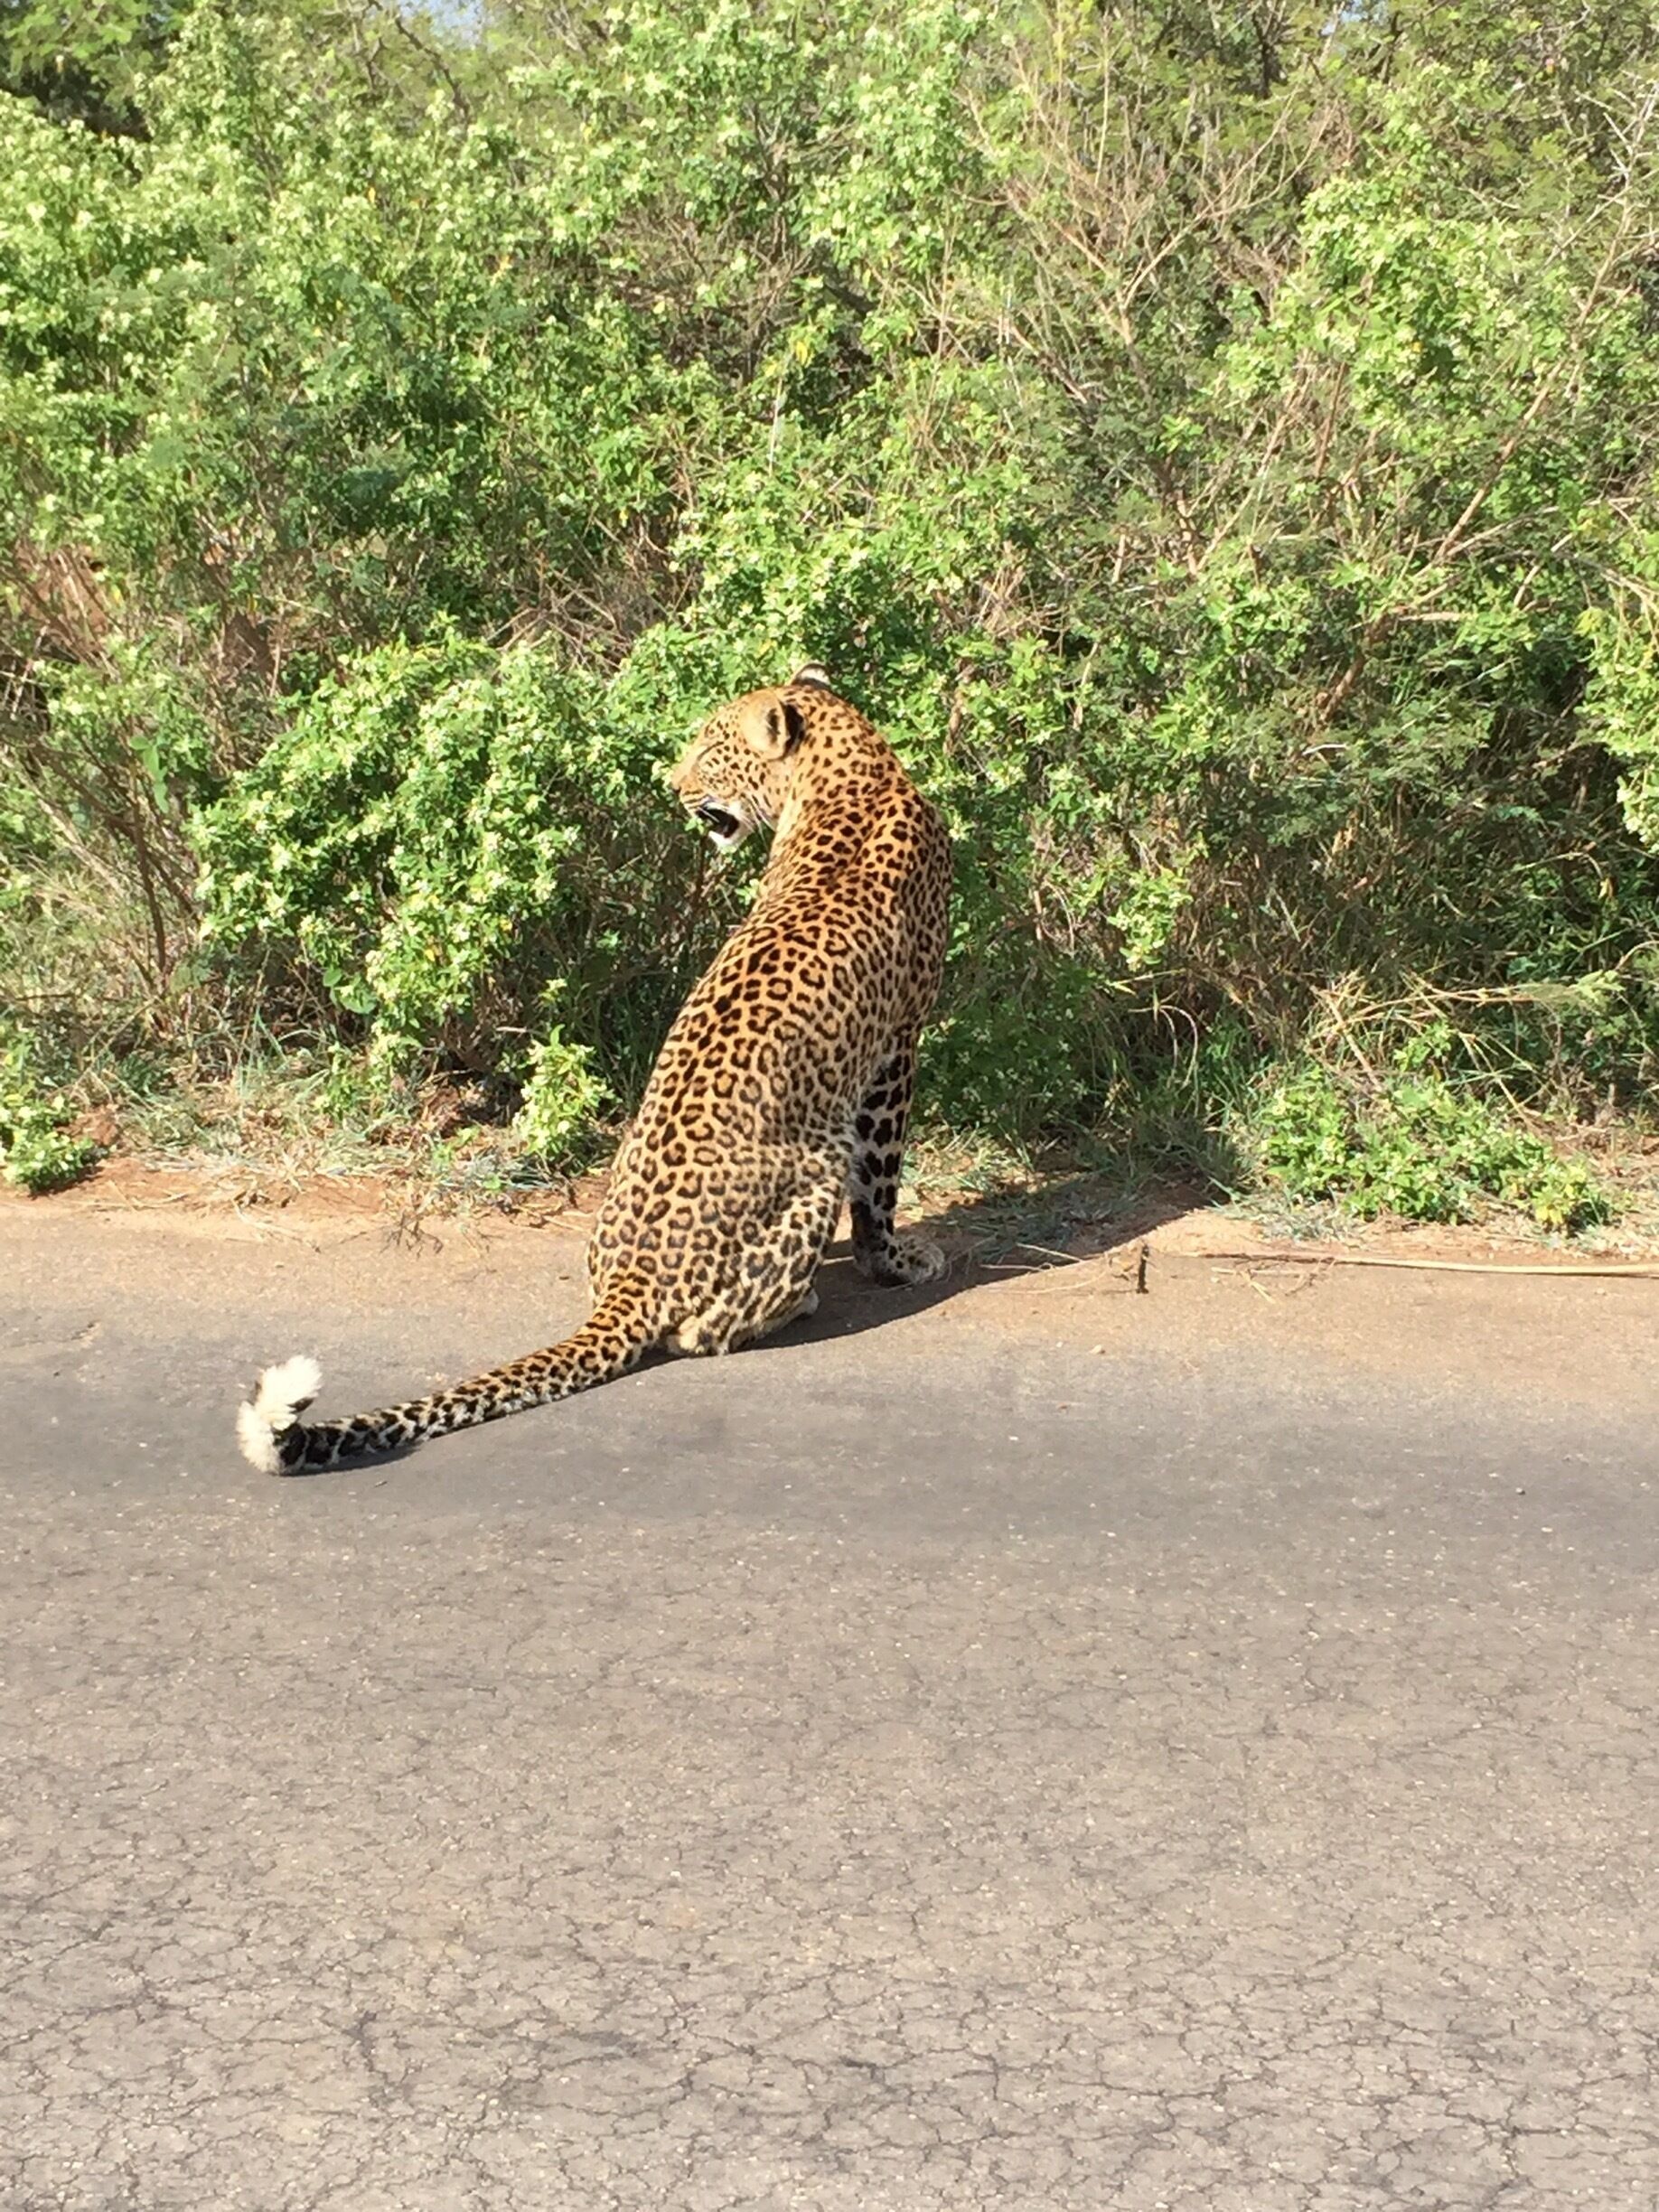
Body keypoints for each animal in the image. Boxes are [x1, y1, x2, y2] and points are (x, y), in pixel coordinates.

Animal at [237, 666, 952, 1475]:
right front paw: (894, 1262)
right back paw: (799, 1302)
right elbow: (881, 1185)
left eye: (710, 749)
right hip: (817, 1165)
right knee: (706, 1332)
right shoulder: (898, 1046)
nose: (672, 785)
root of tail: (628, 1285)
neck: (850, 772)